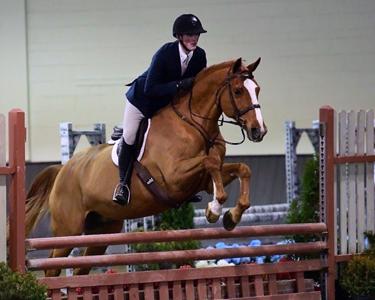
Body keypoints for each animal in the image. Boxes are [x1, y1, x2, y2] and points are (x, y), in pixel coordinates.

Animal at [25, 56, 268, 276]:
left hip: (102, 229)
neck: (193, 125)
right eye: (238, 90)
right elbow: (211, 162)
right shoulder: (174, 178)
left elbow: (241, 168)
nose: (259, 131)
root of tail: (62, 170)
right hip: (69, 230)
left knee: (81, 269)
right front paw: (215, 209)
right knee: (52, 267)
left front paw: (231, 216)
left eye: (257, 89)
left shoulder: (205, 181)